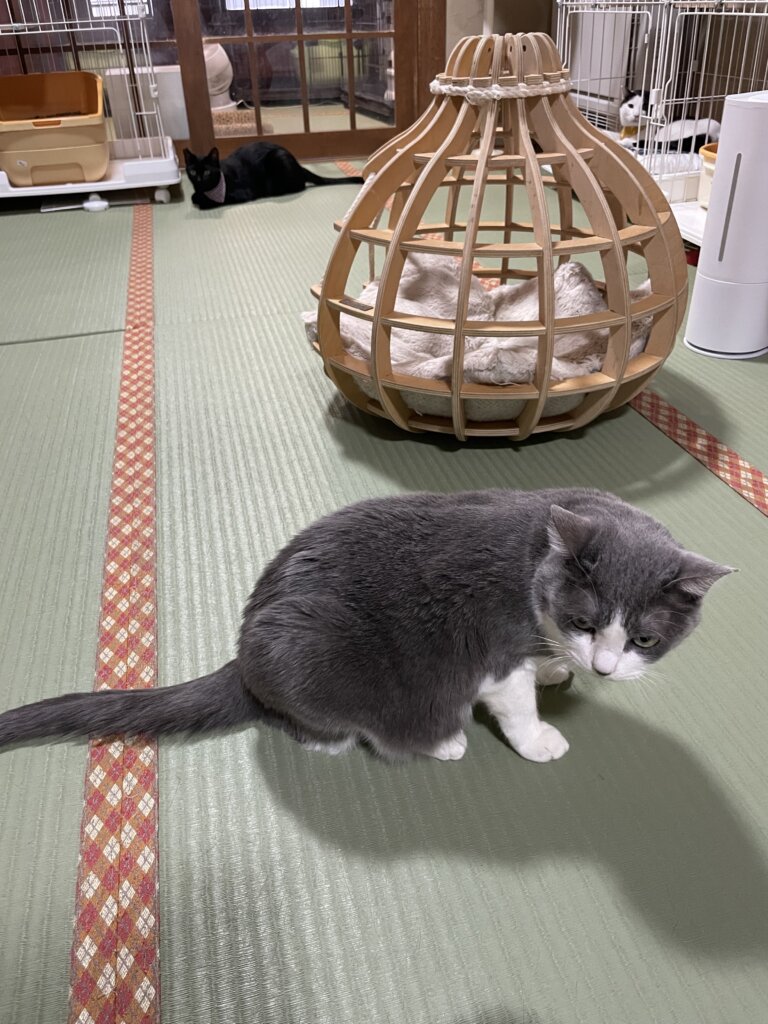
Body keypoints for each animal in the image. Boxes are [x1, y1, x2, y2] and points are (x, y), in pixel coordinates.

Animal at [0, 489, 732, 764]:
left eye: (643, 640)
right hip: (316, 657)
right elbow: (516, 702)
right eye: (586, 619)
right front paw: (539, 738)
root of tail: (244, 650)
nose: (603, 666)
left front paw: (560, 669)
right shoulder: (497, 653)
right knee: (333, 724)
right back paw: (436, 742)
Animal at [183, 142, 364, 209]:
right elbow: (193, 196)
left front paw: (202, 201)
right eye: (192, 172)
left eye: (207, 172)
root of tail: (299, 165)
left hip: (278, 158)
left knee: (299, 185)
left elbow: (210, 201)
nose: (199, 180)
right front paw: (197, 196)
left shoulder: (241, 193)